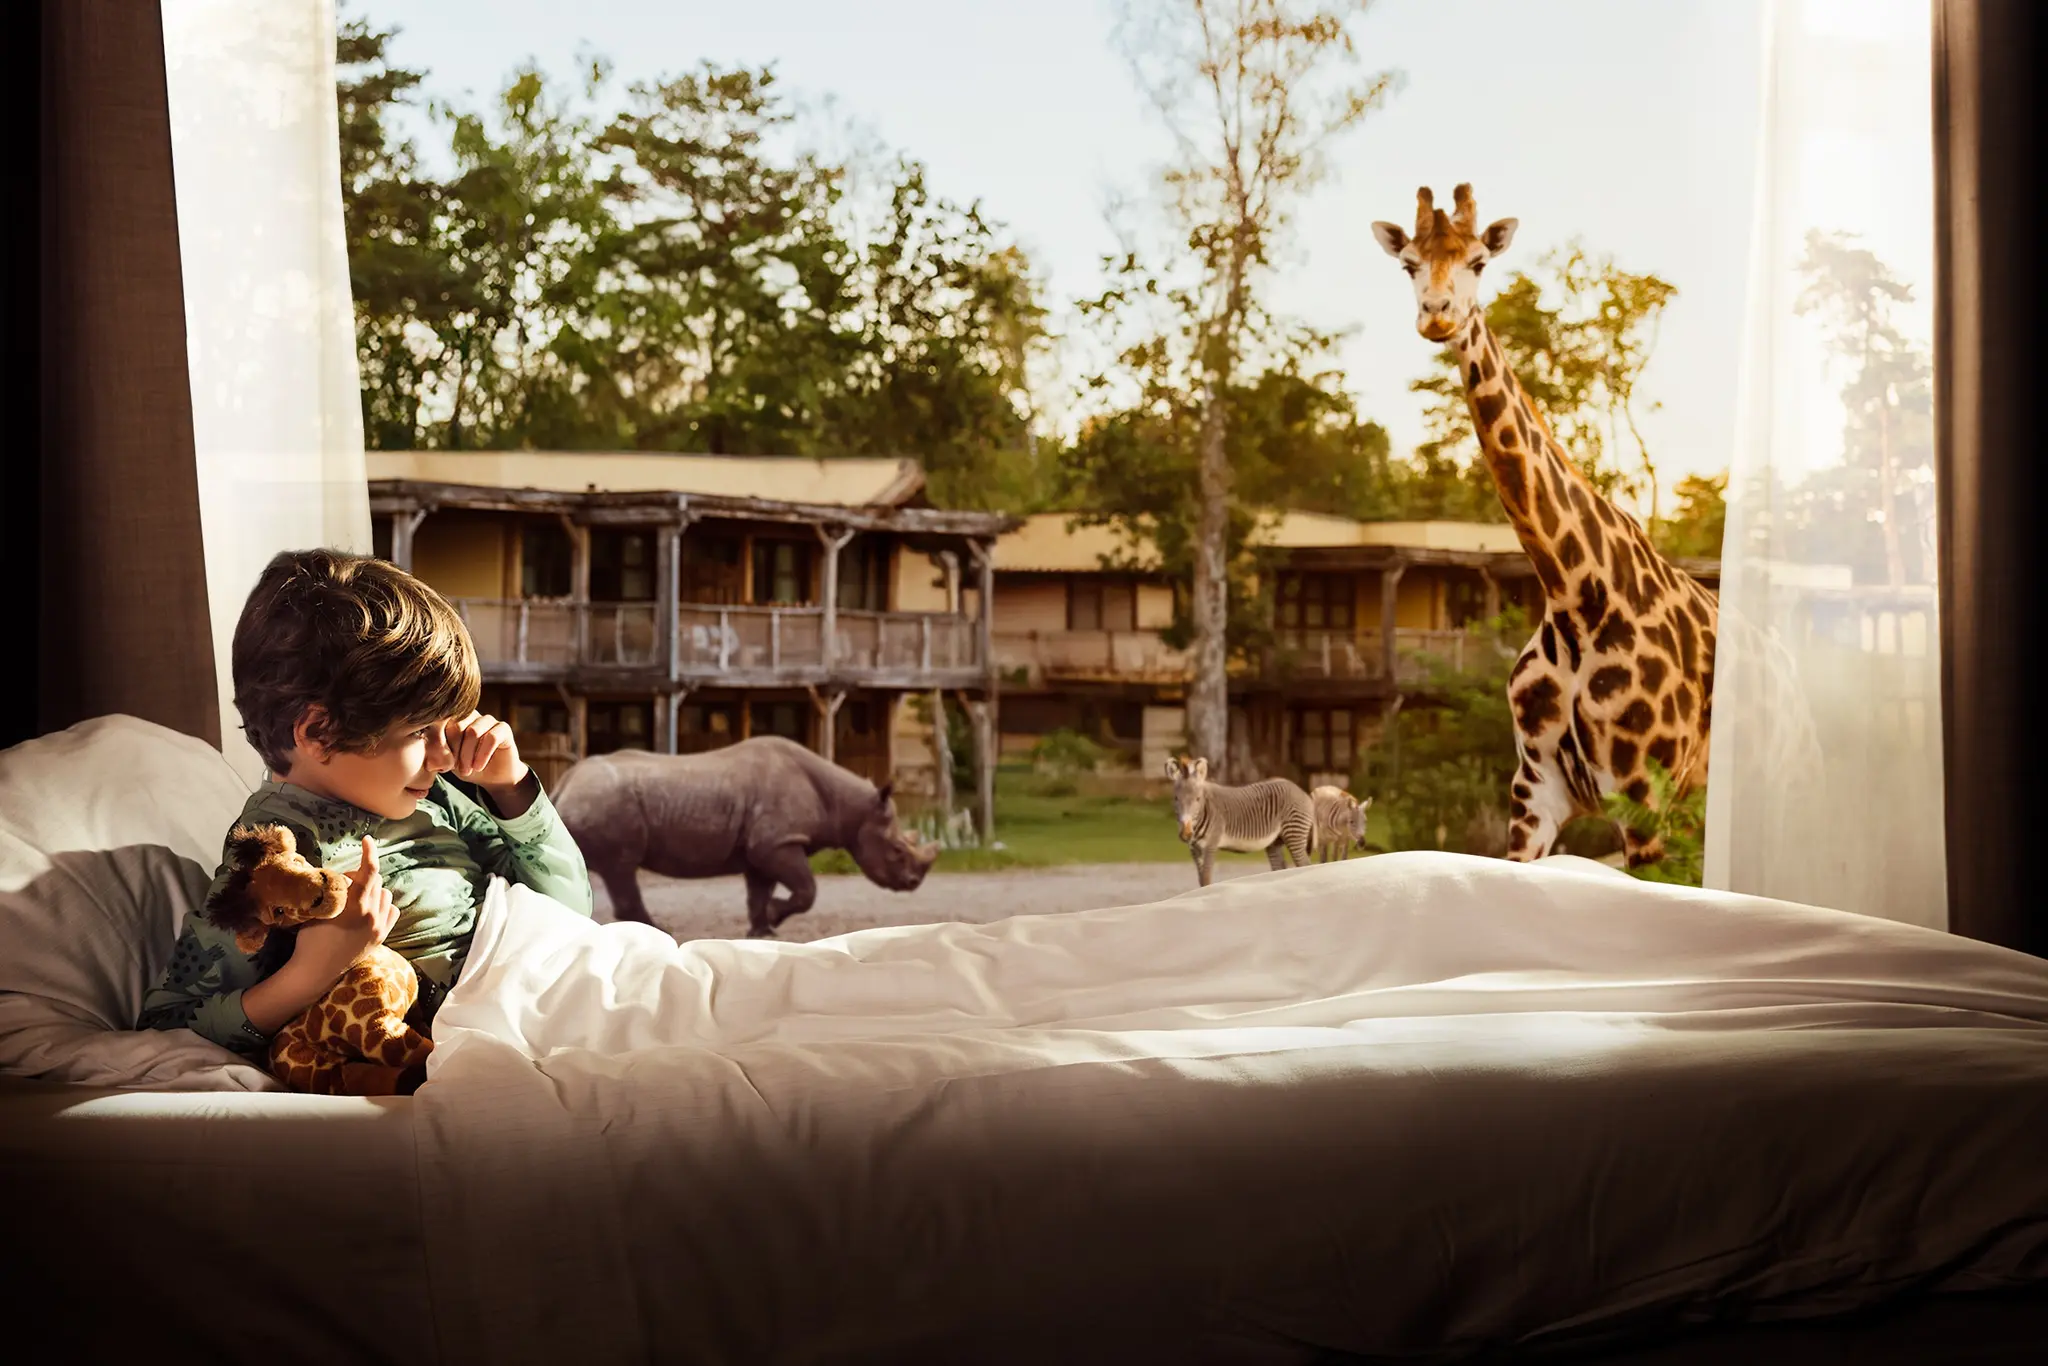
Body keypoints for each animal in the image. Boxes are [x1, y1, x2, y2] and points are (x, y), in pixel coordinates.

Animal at [1164, 756, 1315, 887]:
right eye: (1176, 798)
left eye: (1197, 799)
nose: (1186, 834)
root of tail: (1301, 790)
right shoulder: (1194, 850)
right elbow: (1201, 881)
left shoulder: (1210, 845)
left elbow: (1206, 880)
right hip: (1275, 842)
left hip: (1294, 833)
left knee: (1305, 865)